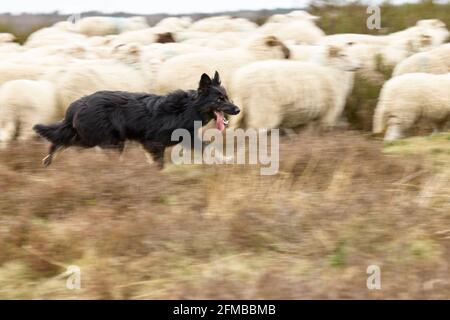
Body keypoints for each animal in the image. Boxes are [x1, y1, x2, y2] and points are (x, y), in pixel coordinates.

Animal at [33, 71, 239, 169]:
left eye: (227, 97)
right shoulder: (154, 143)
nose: (237, 110)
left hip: (89, 137)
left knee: (60, 141)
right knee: (62, 141)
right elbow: (160, 164)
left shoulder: (188, 139)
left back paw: (48, 161)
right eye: (219, 99)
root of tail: (78, 103)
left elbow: (208, 147)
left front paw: (226, 159)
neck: (188, 108)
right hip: (106, 141)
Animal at [230, 44, 360, 129]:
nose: (359, 65)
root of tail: (240, 82)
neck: (329, 70)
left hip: (244, 113)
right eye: (343, 55)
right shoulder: (326, 115)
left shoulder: (309, 118)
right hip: (263, 111)